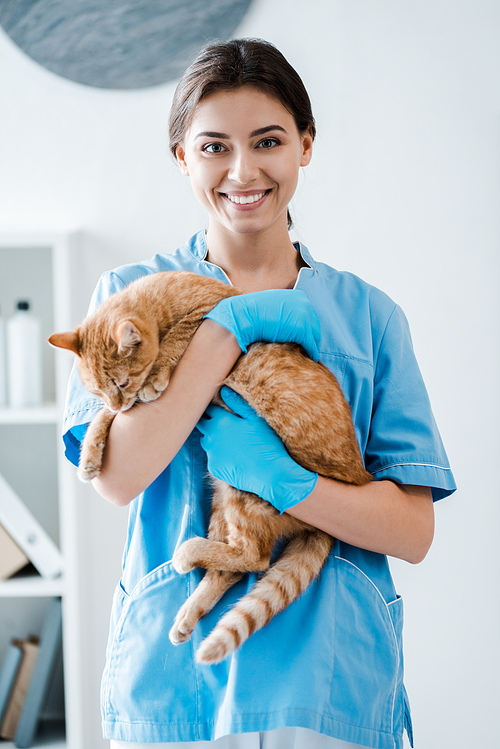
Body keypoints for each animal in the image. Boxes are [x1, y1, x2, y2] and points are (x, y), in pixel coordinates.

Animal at [49, 272, 372, 664]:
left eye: (121, 382)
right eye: (96, 390)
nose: (118, 402)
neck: (164, 295)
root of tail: (356, 479)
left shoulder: (211, 312)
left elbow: (177, 337)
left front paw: (155, 377)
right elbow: (102, 418)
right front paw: (89, 456)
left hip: (247, 488)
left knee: (255, 557)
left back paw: (187, 554)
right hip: (224, 496)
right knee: (230, 569)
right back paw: (188, 613)